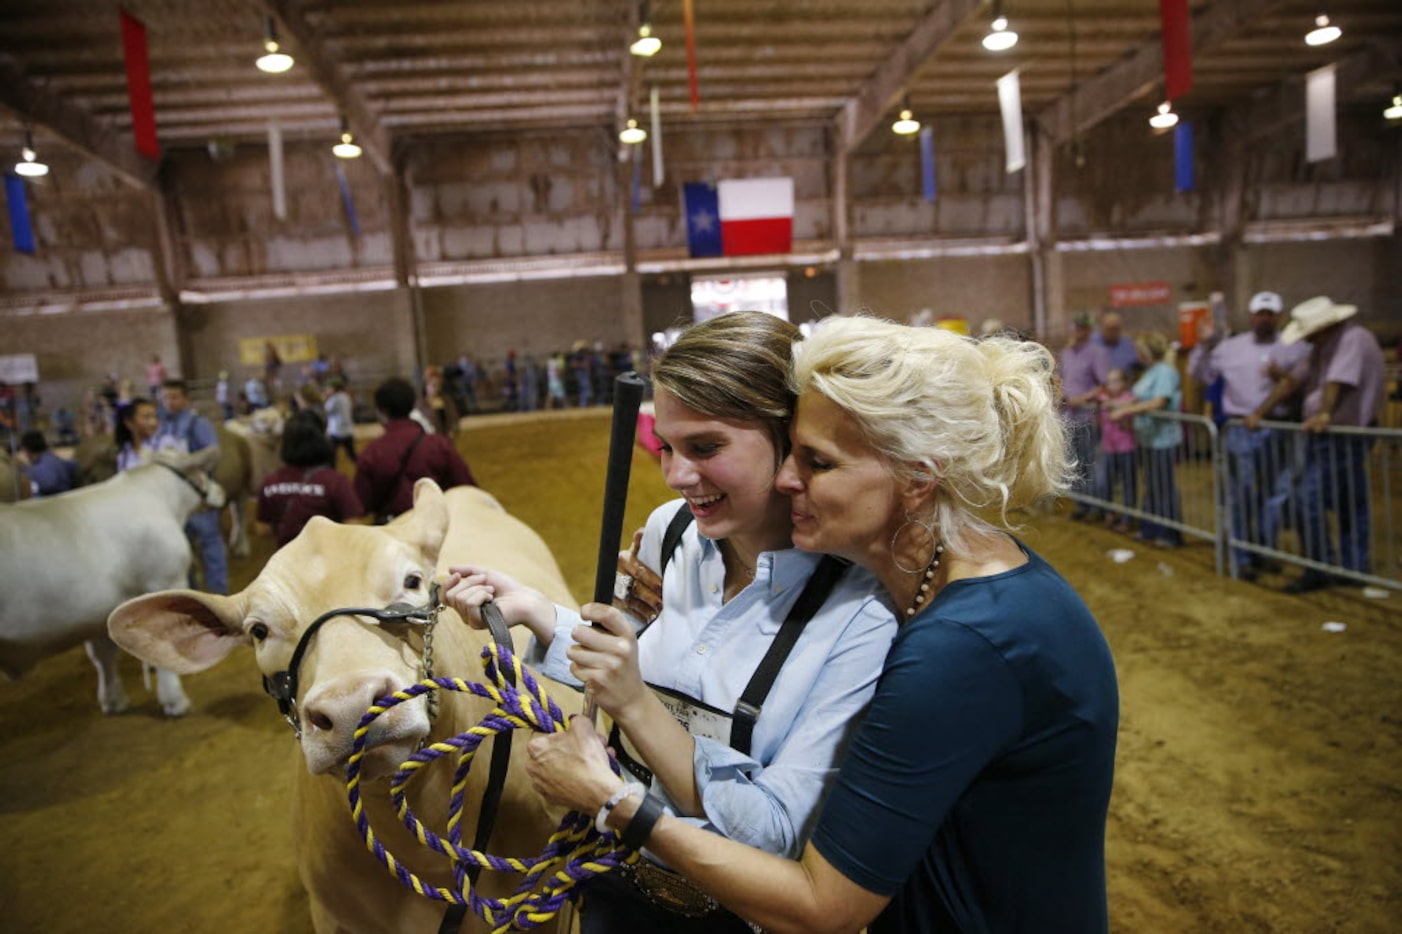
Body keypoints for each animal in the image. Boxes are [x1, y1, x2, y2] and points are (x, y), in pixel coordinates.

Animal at [0, 459, 224, 712]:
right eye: (206, 473)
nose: (222, 492)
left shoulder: (97, 611)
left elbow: (103, 656)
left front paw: (113, 700)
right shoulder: (163, 580)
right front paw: (175, 702)